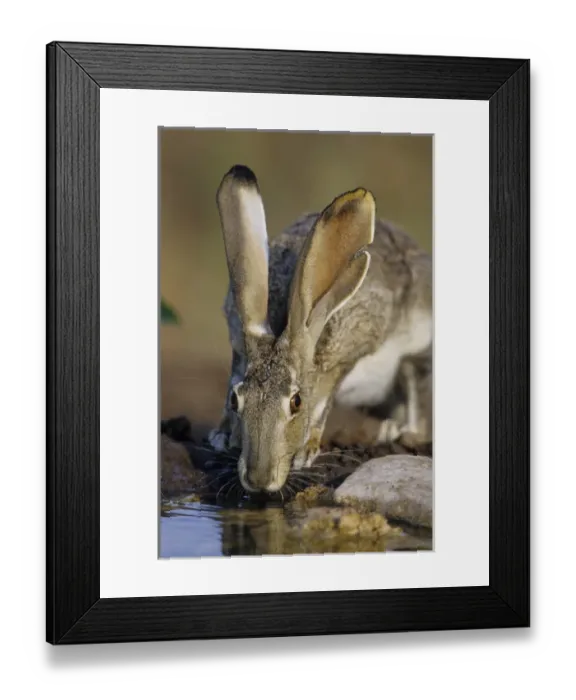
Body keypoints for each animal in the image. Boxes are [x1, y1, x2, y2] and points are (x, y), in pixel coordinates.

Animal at [208, 164, 432, 494]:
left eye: (296, 402)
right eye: (237, 400)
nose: (259, 480)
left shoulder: (345, 357)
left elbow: (324, 404)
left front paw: (307, 451)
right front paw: (223, 436)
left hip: (416, 351)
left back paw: (397, 431)